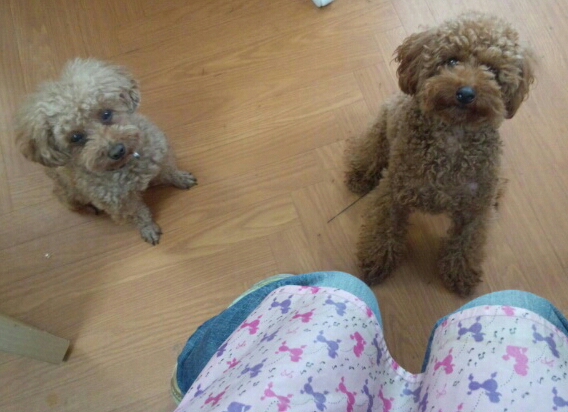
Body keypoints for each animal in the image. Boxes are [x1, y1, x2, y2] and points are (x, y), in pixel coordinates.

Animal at [15, 58, 197, 245]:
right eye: (75, 137)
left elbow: (169, 171)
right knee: (66, 199)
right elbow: (139, 214)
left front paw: (181, 179)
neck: (126, 165)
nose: (117, 150)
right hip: (70, 194)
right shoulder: (122, 203)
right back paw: (89, 207)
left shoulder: (161, 157)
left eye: (106, 113)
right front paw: (148, 228)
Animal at [345, 13, 534, 295]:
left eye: (491, 70)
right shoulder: (393, 193)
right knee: (372, 148)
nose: (466, 93)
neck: (452, 135)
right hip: (384, 124)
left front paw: (460, 272)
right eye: (452, 61)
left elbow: (467, 243)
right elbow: (383, 229)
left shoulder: (475, 210)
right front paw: (377, 260)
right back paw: (360, 174)